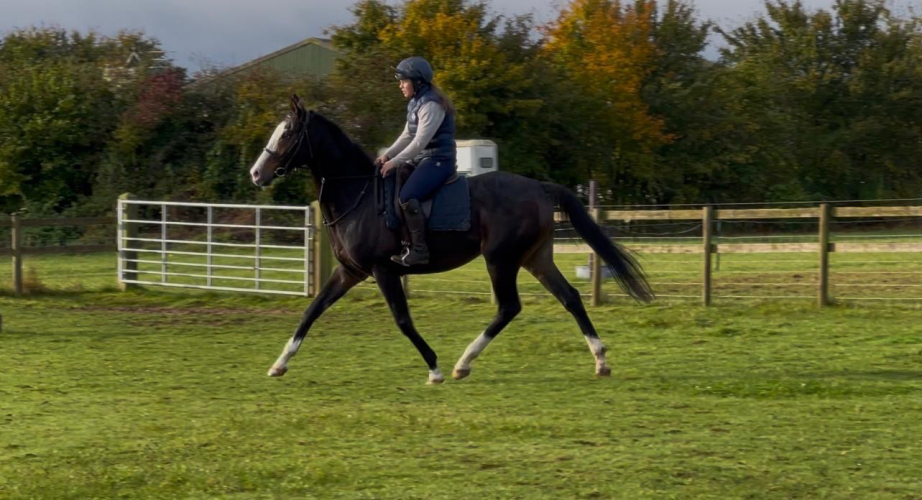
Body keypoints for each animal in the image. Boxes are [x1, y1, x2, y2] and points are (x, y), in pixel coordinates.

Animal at [249, 94, 653, 385]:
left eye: (287, 134)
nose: (256, 173)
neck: (358, 195)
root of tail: (538, 187)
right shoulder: (350, 272)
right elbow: (312, 311)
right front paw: (279, 364)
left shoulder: (383, 271)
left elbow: (402, 320)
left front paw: (434, 369)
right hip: (535, 258)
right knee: (569, 298)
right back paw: (600, 360)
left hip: (500, 260)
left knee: (509, 307)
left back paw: (462, 363)